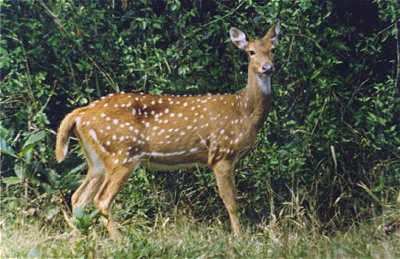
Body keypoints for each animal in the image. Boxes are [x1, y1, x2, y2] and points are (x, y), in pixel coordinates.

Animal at [55, 22, 282, 242]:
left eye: (273, 49)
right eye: (251, 52)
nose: (267, 67)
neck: (244, 111)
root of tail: (81, 113)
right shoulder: (221, 154)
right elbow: (231, 201)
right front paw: (239, 237)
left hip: (97, 160)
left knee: (79, 197)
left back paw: (76, 242)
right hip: (122, 154)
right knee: (101, 199)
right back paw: (121, 242)